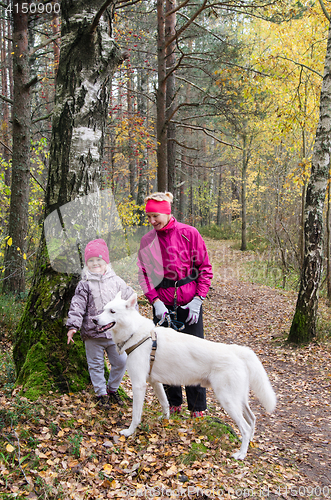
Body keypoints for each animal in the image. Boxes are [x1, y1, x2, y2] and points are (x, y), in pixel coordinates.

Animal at [96, 292, 278, 460]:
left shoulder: (139, 385)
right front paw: (165, 420)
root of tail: (237, 350)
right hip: (239, 399)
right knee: (252, 419)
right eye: (103, 308)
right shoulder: (155, 382)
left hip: (227, 400)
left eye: (112, 311)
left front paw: (129, 432)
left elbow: (135, 415)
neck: (136, 334)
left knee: (245, 428)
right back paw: (249, 444)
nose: (94, 320)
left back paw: (241, 454)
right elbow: (165, 403)